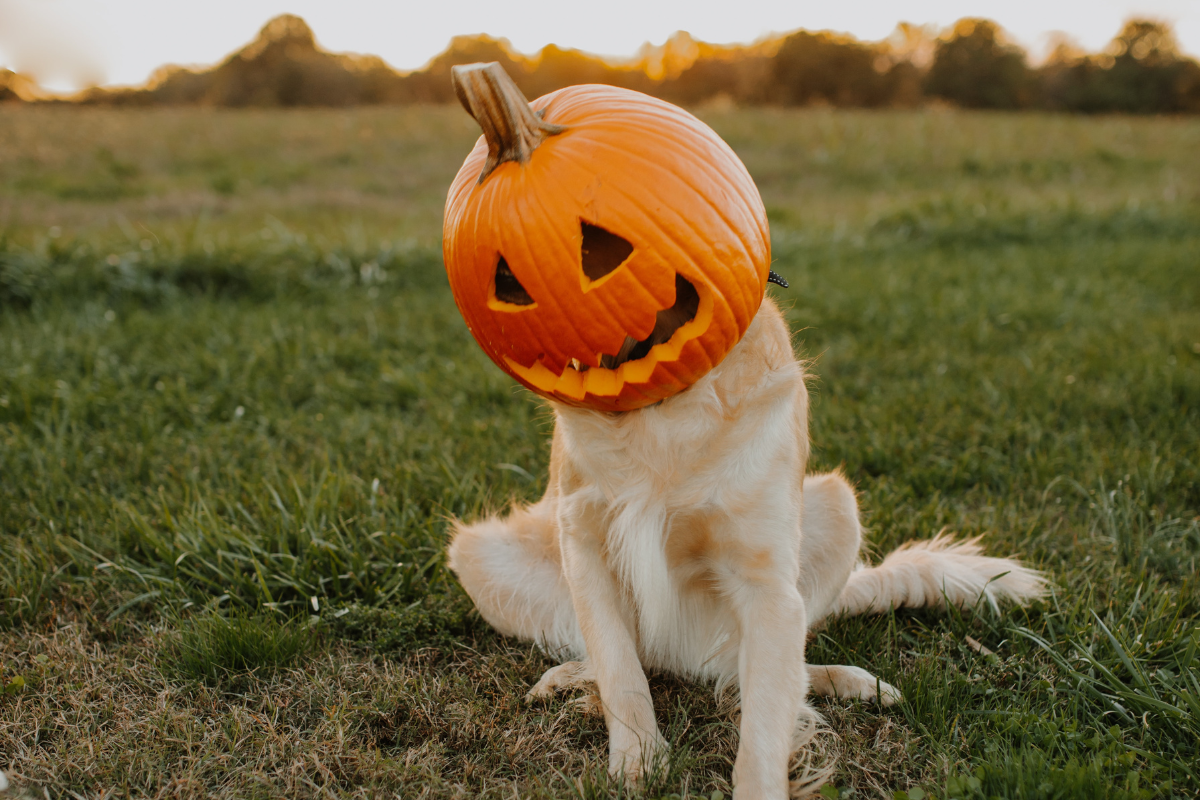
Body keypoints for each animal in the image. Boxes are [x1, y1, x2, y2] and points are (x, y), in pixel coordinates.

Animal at [446, 296, 1046, 800]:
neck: (661, 413)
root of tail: (687, 663)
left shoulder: (768, 587)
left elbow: (763, 728)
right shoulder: (584, 541)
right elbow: (620, 669)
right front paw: (638, 763)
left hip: (838, 507)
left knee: (765, 672)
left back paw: (855, 683)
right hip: (479, 555)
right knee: (636, 657)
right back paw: (566, 677)